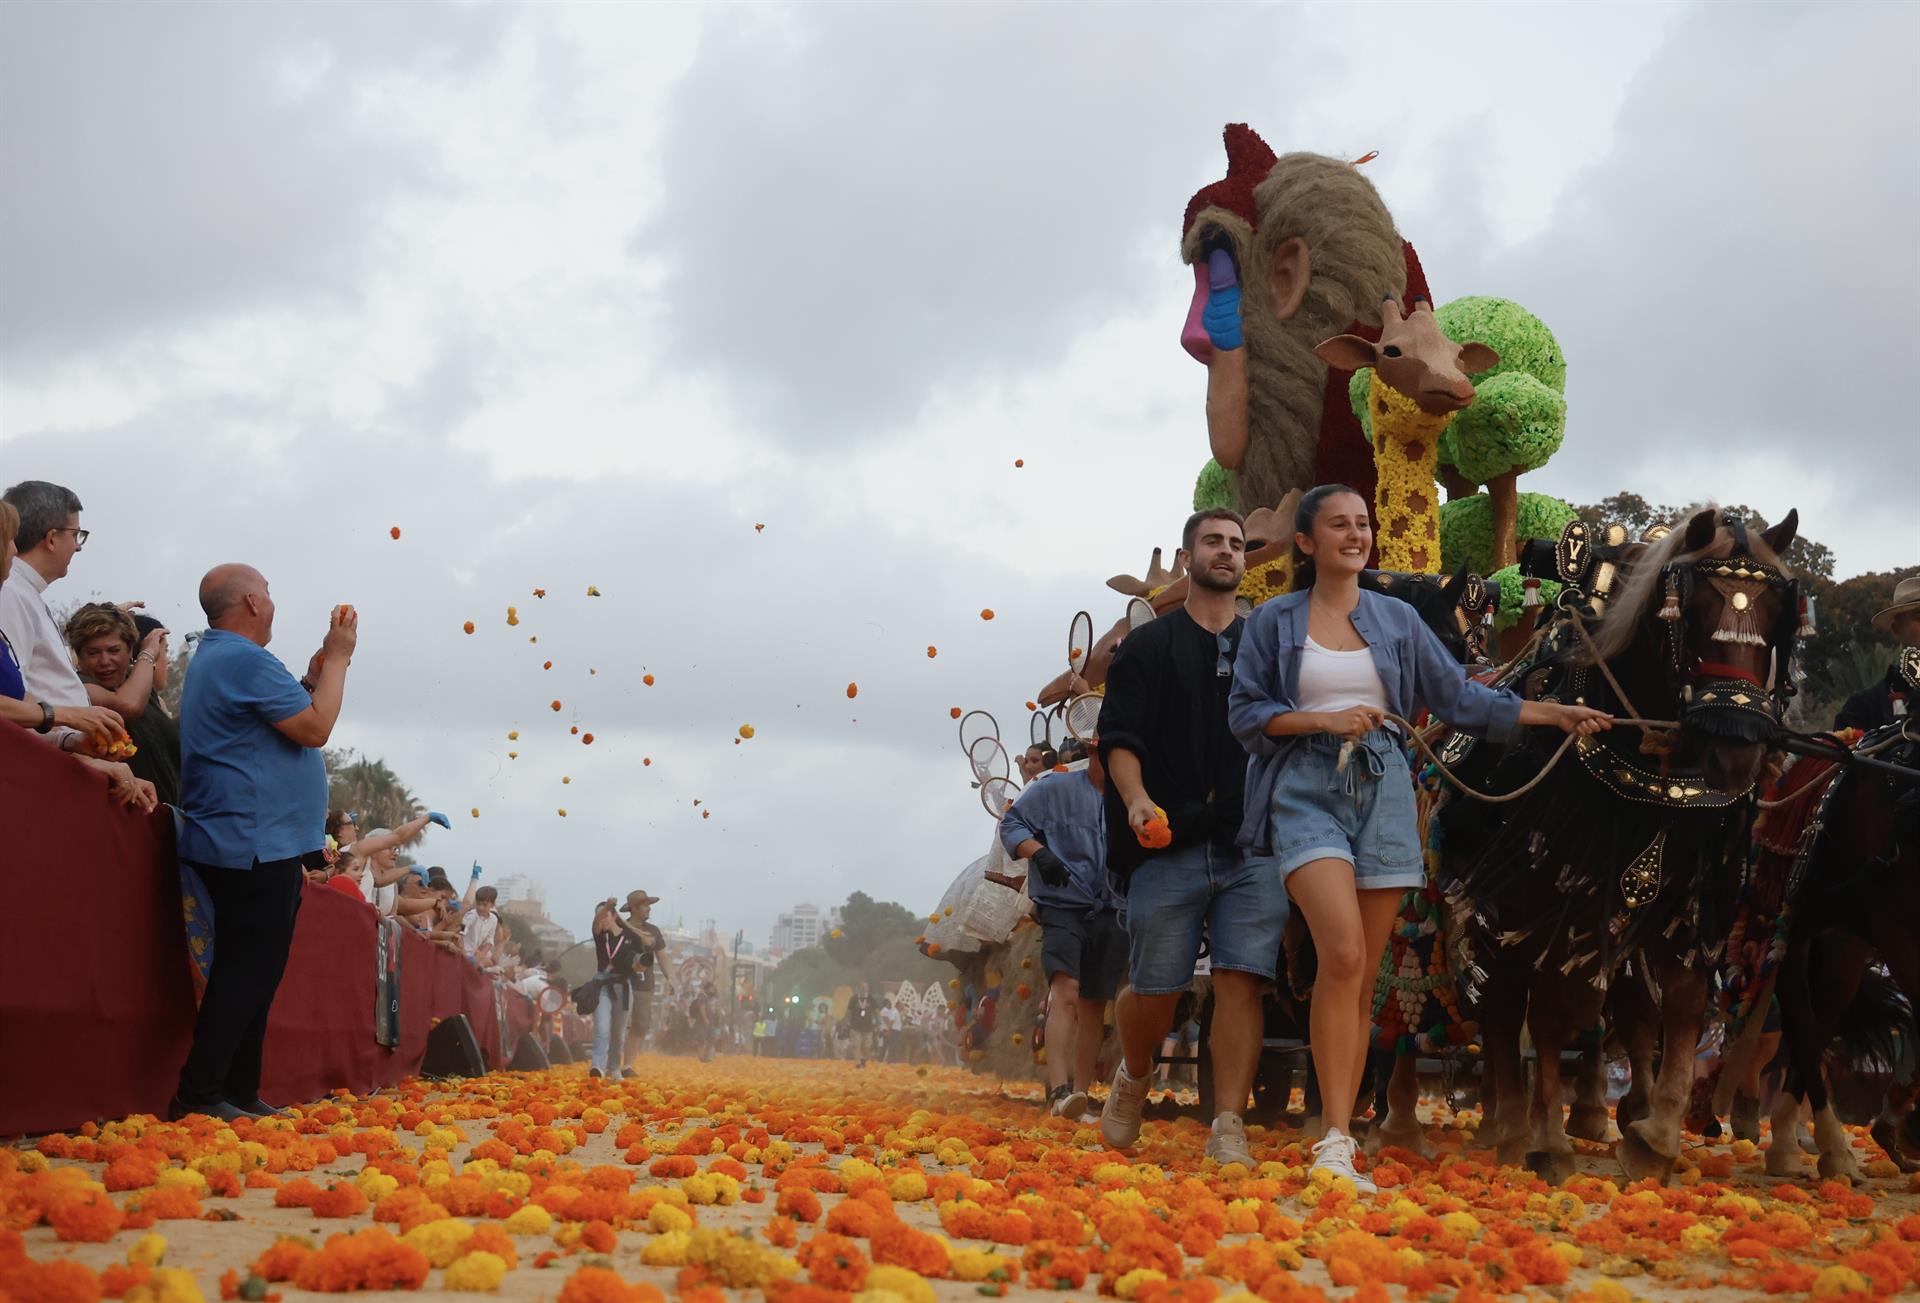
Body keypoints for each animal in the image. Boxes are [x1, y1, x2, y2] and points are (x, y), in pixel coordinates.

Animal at [1443, 506, 1797, 1182]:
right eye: (1695, 614)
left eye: (1777, 620)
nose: (1737, 754)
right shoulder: (1545, 899)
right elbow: (1548, 1016)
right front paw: (1548, 1140)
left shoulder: (1683, 894)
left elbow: (1679, 1003)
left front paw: (1654, 1134)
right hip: (1496, 904)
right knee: (1506, 1009)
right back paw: (1510, 1126)